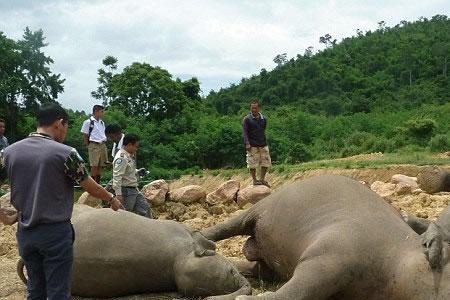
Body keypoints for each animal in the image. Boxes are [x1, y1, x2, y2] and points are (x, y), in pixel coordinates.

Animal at [202, 175, 450, 298]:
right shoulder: (326, 258)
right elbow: (296, 292)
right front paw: (243, 298)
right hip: (261, 208)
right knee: (228, 227)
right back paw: (199, 236)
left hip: (270, 260)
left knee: (255, 268)